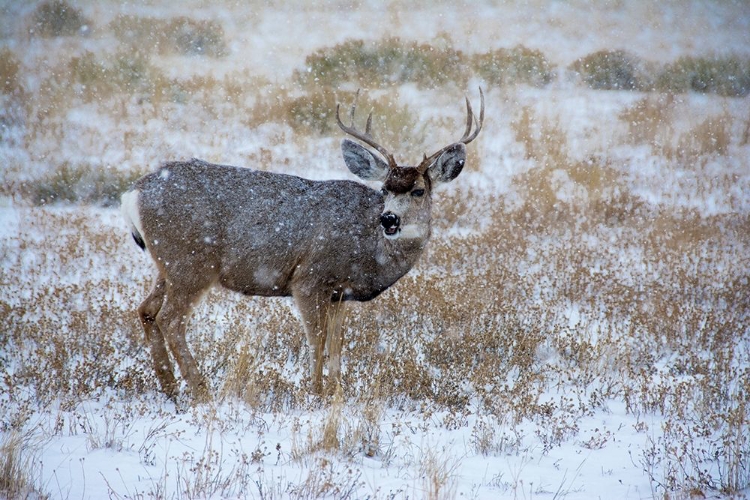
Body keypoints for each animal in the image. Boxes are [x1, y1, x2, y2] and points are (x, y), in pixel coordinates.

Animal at [122, 90, 488, 402]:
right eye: (385, 188)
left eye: (418, 191)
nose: (389, 219)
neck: (366, 249)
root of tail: (134, 192)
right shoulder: (309, 278)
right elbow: (318, 339)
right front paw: (316, 392)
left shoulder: (340, 292)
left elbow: (338, 343)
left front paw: (337, 391)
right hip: (191, 263)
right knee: (170, 319)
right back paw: (200, 390)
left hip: (168, 264)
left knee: (146, 310)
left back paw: (170, 387)